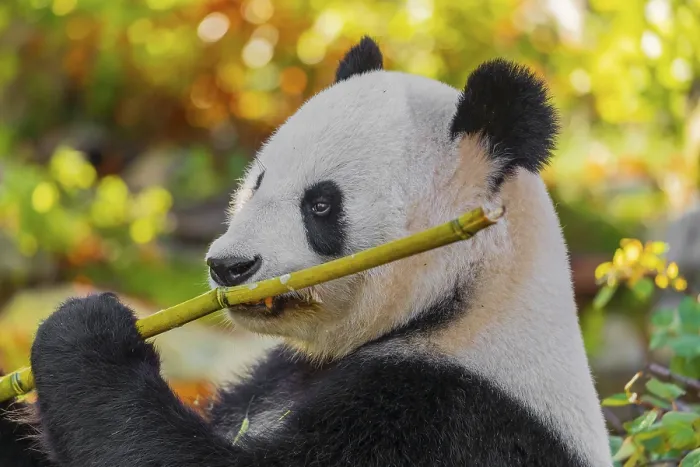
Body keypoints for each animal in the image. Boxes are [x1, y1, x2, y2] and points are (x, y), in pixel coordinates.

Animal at [0, 36, 612, 466]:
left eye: (320, 205)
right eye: (257, 184)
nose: (229, 266)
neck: (467, 300)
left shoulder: (449, 413)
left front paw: (86, 328)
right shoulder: (275, 375)